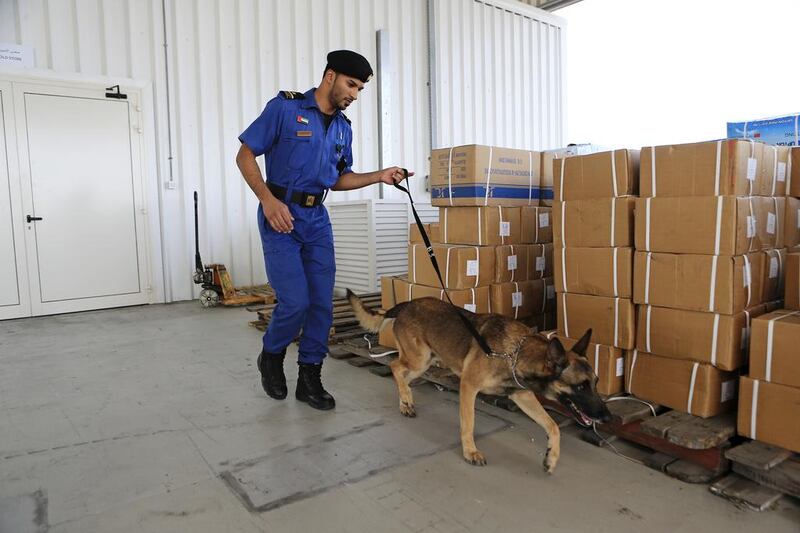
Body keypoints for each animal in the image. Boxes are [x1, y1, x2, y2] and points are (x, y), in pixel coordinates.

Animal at [348, 290, 612, 474]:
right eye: (580, 386)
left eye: (596, 382)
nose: (608, 418)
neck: (515, 353)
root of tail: (406, 304)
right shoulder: (468, 387)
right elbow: (469, 423)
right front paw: (470, 452)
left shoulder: (522, 395)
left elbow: (553, 426)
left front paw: (551, 458)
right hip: (418, 359)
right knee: (394, 366)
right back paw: (405, 401)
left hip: (424, 363)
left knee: (401, 374)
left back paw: (406, 401)